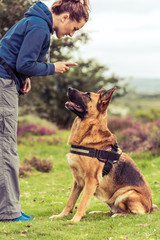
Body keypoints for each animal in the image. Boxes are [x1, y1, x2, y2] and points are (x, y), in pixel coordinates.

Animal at [50, 87, 158, 222]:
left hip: (125, 193)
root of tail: (150, 207)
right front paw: (61, 215)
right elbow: (70, 201)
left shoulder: (91, 181)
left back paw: (119, 215)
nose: (69, 88)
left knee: (132, 213)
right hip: (111, 197)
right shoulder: (77, 181)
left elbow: (82, 202)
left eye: (88, 95)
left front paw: (75, 220)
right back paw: (99, 212)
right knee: (113, 210)